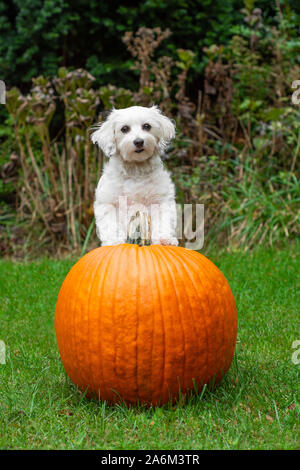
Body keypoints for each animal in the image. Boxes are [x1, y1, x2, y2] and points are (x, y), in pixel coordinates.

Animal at [90, 106, 177, 246]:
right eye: (124, 129)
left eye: (147, 126)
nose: (139, 141)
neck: (136, 169)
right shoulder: (108, 203)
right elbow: (110, 223)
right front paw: (114, 241)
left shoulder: (161, 201)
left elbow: (163, 221)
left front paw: (165, 239)